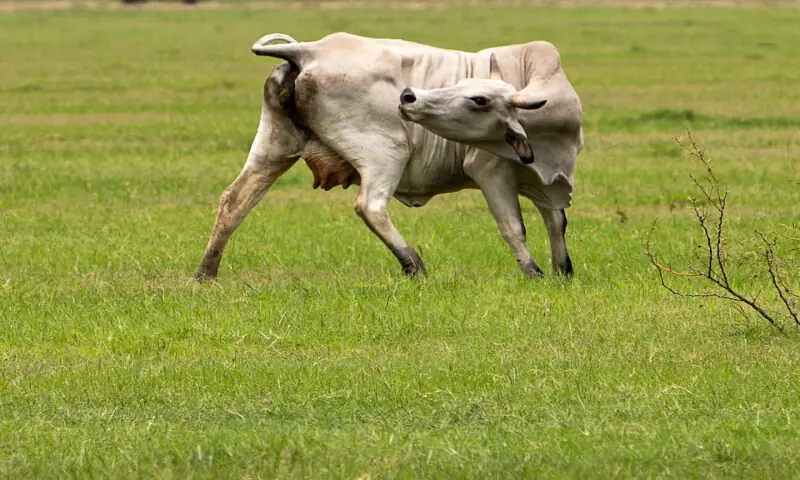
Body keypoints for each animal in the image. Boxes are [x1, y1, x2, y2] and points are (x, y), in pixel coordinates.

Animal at [195, 32, 583, 281]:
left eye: (479, 98)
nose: (409, 96)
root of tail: (310, 51)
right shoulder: (491, 173)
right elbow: (513, 227)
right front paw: (534, 273)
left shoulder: (549, 181)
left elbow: (556, 222)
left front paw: (563, 271)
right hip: (387, 155)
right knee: (371, 206)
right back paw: (414, 265)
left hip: (274, 148)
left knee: (234, 201)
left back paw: (206, 273)